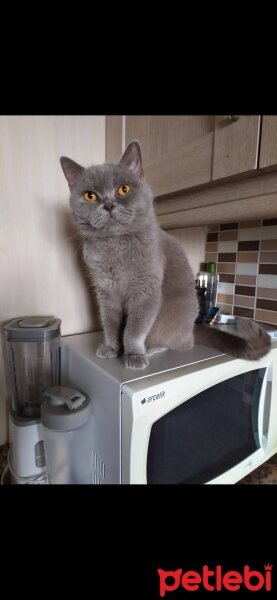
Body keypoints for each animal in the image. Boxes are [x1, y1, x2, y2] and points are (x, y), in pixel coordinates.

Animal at [60, 140, 270, 368]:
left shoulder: (146, 289)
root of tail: (192, 329)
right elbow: (110, 323)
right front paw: (111, 348)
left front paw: (134, 355)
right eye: (90, 195)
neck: (114, 246)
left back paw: (151, 349)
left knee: (176, 343)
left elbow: (135, 328)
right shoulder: (105, 291)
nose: (108, 204)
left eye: (124, 189)